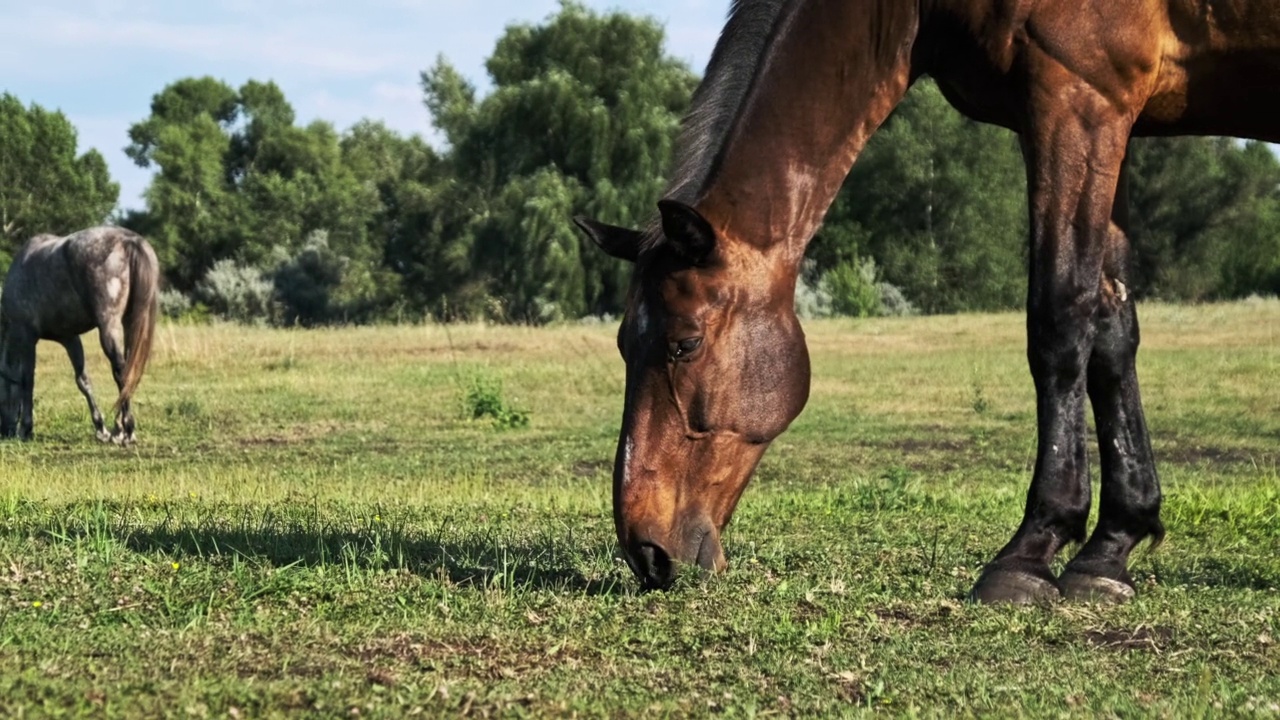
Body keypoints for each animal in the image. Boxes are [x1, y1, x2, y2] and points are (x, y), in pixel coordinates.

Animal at [0, 224, 160, 440]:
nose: (5, 430)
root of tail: (128, 240)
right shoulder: (70, 339)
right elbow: (82, 380)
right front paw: (100, 428)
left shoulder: (27, 336)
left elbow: (28, 380)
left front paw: (26, 428)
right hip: (130, 324)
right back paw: (119, 427)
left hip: (109, 326)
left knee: (121, 371)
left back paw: (126, 430)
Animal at [578, 1, 1280, 599]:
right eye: (623, 345)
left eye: (684, 343)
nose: (645, 551)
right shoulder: (1112, 123)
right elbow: (1110, 331)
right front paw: (1109, 550)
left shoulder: (1077, 99)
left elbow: (1059, 320)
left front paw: (1029, 552)